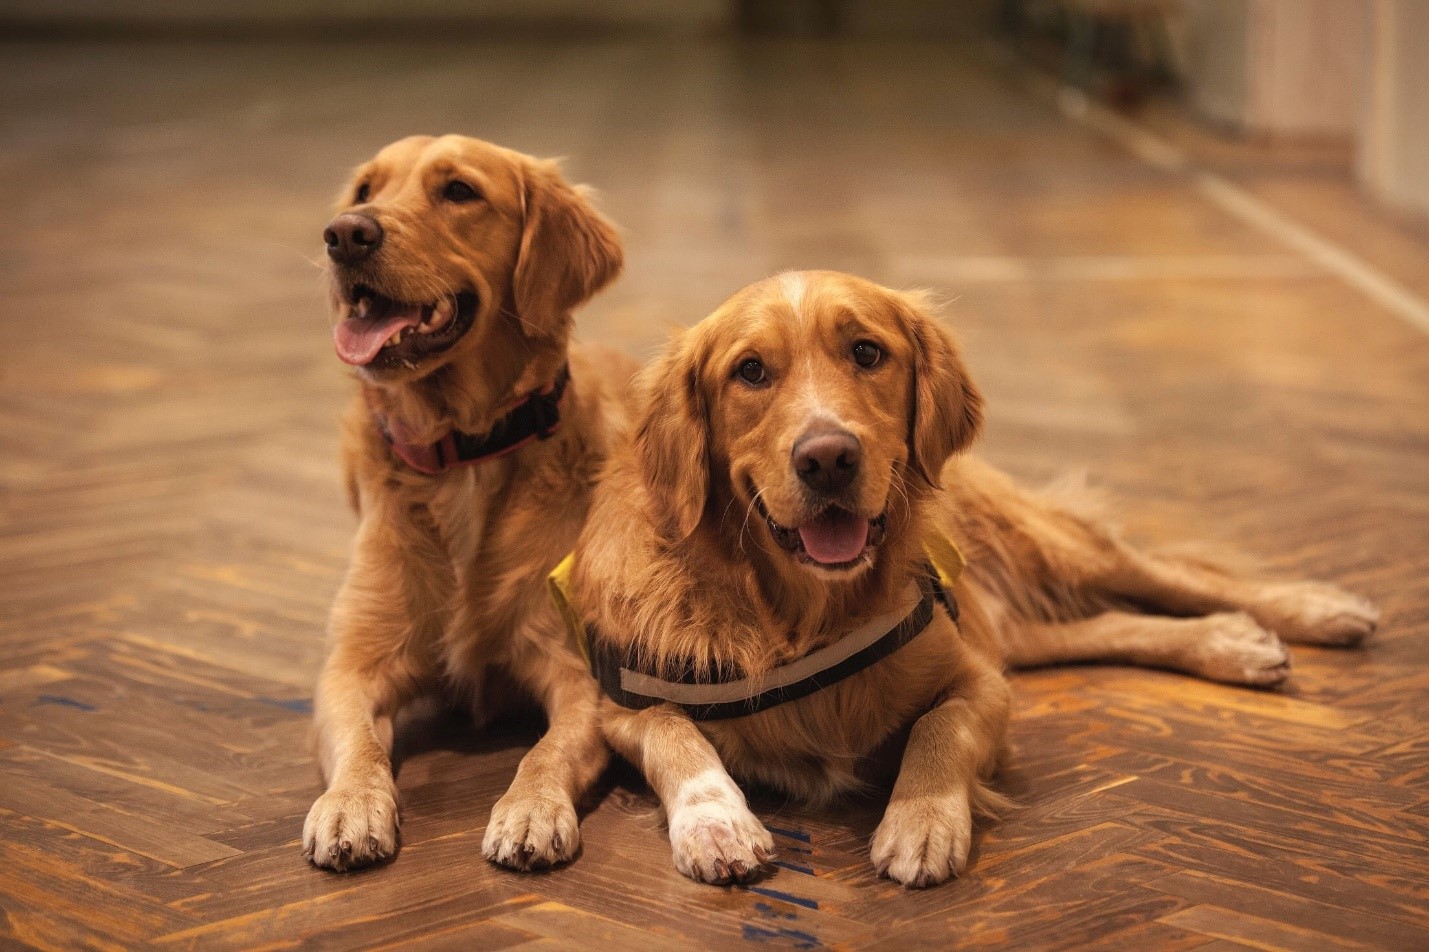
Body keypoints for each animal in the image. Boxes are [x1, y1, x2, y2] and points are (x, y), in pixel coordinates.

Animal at [563, 270, 1377, 886]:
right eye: (750, 371)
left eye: (866, 352)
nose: (828, 457)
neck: (801, 614)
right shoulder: (622, 703)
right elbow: (675, 737)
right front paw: (716, 823)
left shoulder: (979, 681)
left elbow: (938, 725)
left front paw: (920, 821)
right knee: (1110, 622)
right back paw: (1233, 643)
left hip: (1040, 542)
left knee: (1167, 574)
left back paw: (1303, 611)